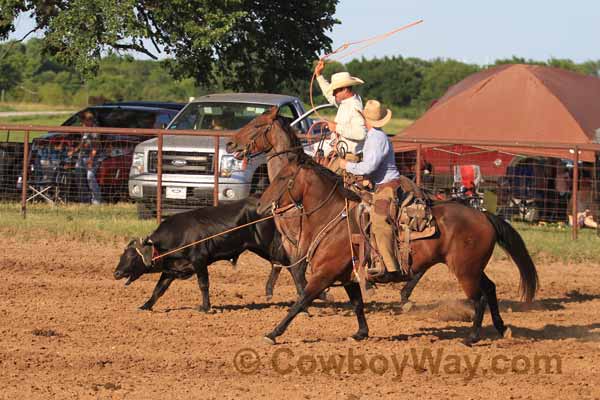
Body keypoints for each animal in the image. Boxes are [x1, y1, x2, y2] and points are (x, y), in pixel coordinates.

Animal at [226, 108, 540, 346]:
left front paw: (272, 333)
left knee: (478, 298)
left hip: (464, 270)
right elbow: (356, 303)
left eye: (256, 125)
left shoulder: (324, 272)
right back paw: (501, 328)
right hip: (473, 267)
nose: (230, 144)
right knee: (490, 289)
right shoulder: (346, 274)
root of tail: (483, 215)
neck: (331, 215)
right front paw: (361, 333)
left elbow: (301, 299)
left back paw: (472, 337)